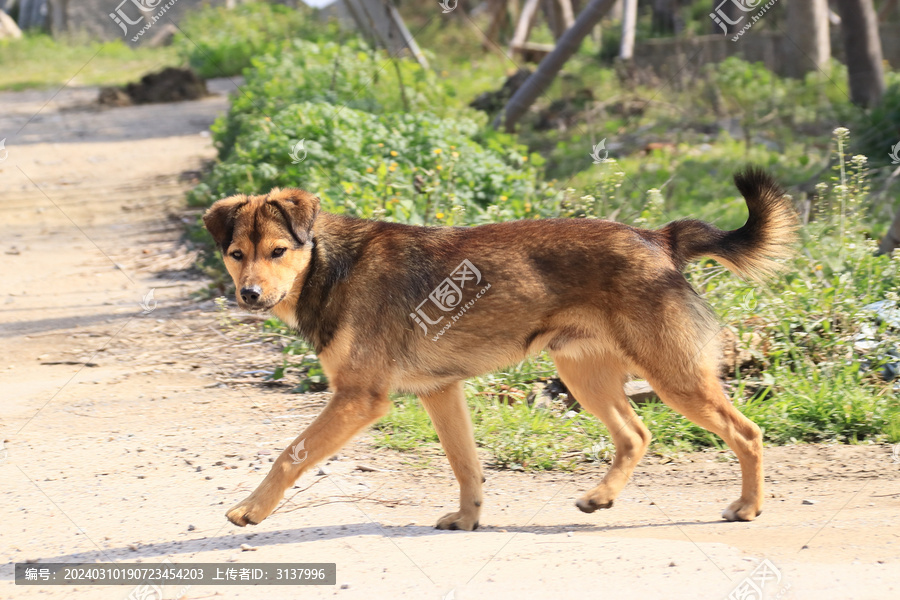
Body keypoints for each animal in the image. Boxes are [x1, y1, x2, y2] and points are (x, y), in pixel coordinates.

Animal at [204, 168, 796, 528]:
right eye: (236, 254)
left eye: (278, 251)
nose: (249, 294)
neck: (328, 265)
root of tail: (659, 238)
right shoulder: (440, 392)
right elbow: (466, 465)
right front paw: (468, 519)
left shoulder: (358, 398)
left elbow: (290, 454)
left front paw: (250, 510)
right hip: (585, 375)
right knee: (636, 434)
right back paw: (601, 496)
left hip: (674, 376)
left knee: (747, 432)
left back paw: (749, 506)